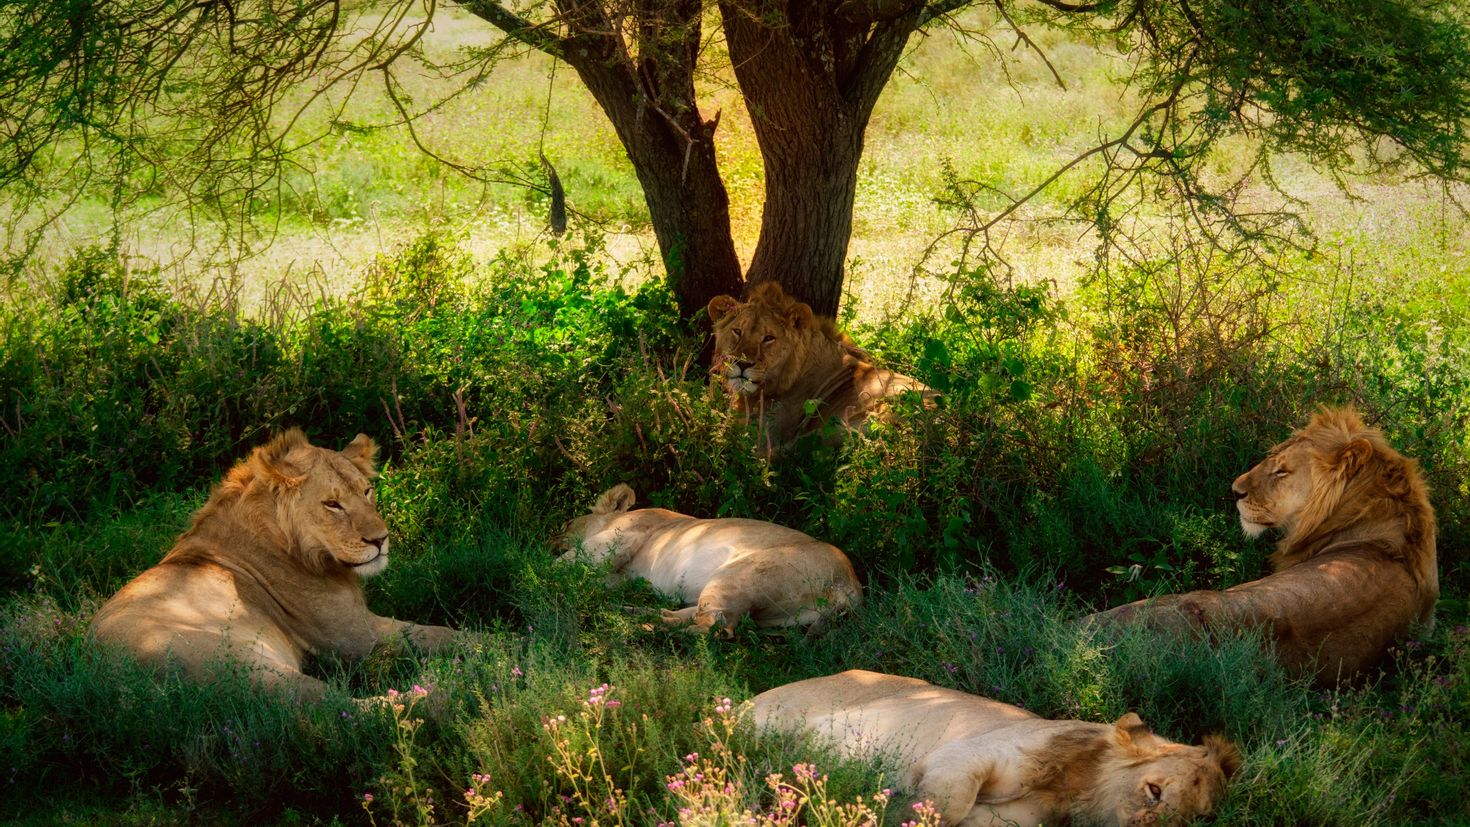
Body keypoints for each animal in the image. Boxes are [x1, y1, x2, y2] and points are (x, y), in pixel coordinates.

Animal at [91, 431, 458, 702]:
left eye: (367, 491)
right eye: (332, 504)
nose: (380, 539)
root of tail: (108, 678)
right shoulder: (356, 637)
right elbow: (441, 634)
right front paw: (475, 651)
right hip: (251, 668)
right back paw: (440, 696)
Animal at [558, 484, 858, 634]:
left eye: (567, 524)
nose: (551, 539)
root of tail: (849, 584)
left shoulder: (625, 534)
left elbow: (568, 561)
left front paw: (549, 569)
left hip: (735, 576)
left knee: (714, 628)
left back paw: (644, 626)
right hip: (773, 615)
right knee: (702, 617)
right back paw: (636, 611)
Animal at [752, 672, 1234, 827]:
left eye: (1194, 821)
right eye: (1154, 791)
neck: (1073, 791)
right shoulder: (964, 753)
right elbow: (947, 803)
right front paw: (889, 810)